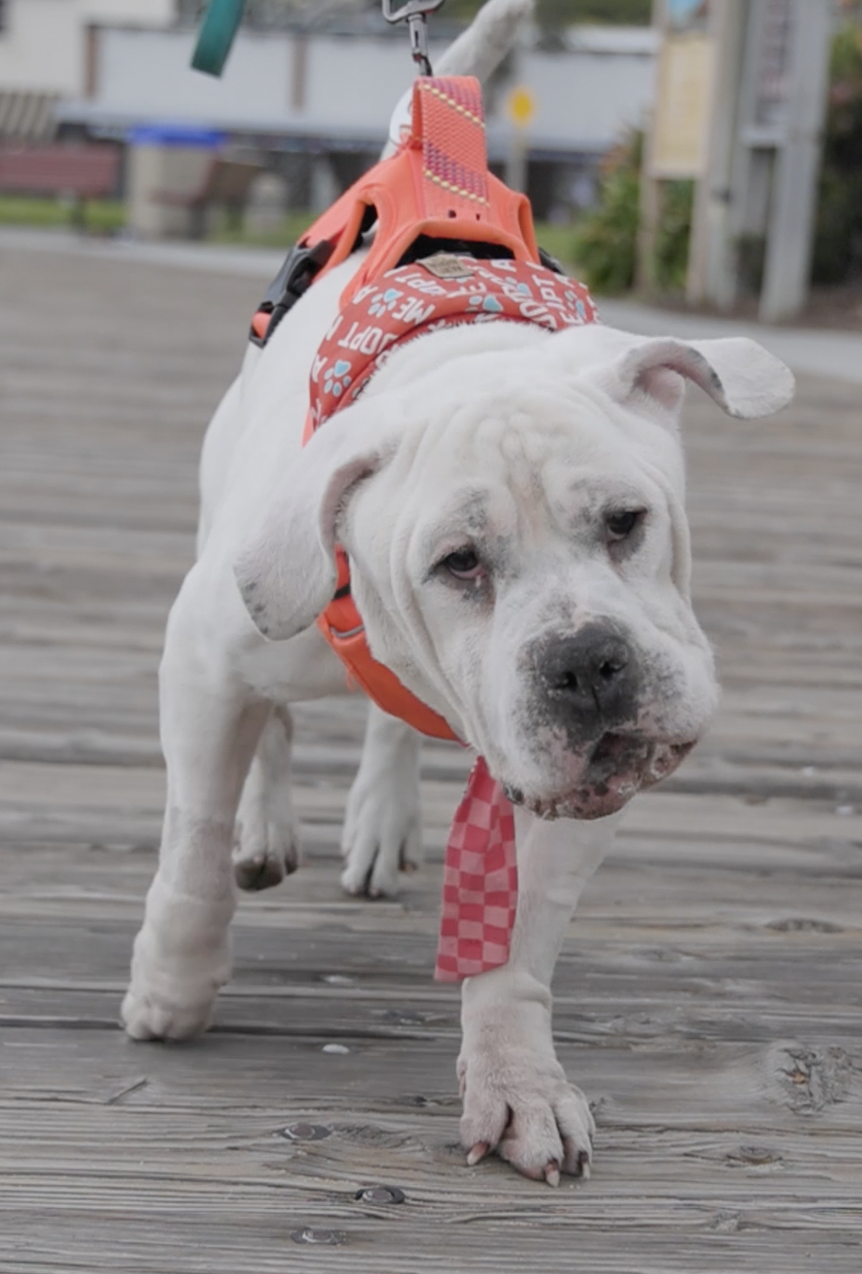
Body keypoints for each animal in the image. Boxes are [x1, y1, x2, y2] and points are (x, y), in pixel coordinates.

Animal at [122, 0, 794, 1182]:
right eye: (458, 564)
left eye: (628, 522)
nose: (586, 660)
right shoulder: (205, 652)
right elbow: (192, 836)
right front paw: (173, 983)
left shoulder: (574, 788)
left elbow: (517, 946)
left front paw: (519, 1082)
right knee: (265, 734)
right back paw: (267, 824)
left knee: (391, 735)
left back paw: (383, 812)